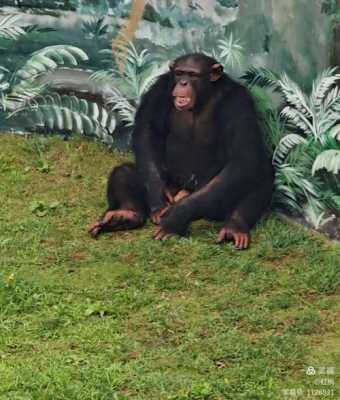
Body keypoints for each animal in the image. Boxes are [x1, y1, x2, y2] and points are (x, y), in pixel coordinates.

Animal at [88, 51, 274, 248]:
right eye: (179, 73)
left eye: (192, 75)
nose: (183, 83)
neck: (205, 95)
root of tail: (181, 192)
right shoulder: (160, 88)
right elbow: (148, 130)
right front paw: (157, 199)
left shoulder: (239, 101)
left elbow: (243, 156)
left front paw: (176, 218)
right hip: (169, 184)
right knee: (124, 171)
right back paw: (124, 216)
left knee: (260, 176)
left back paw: (235, 226)